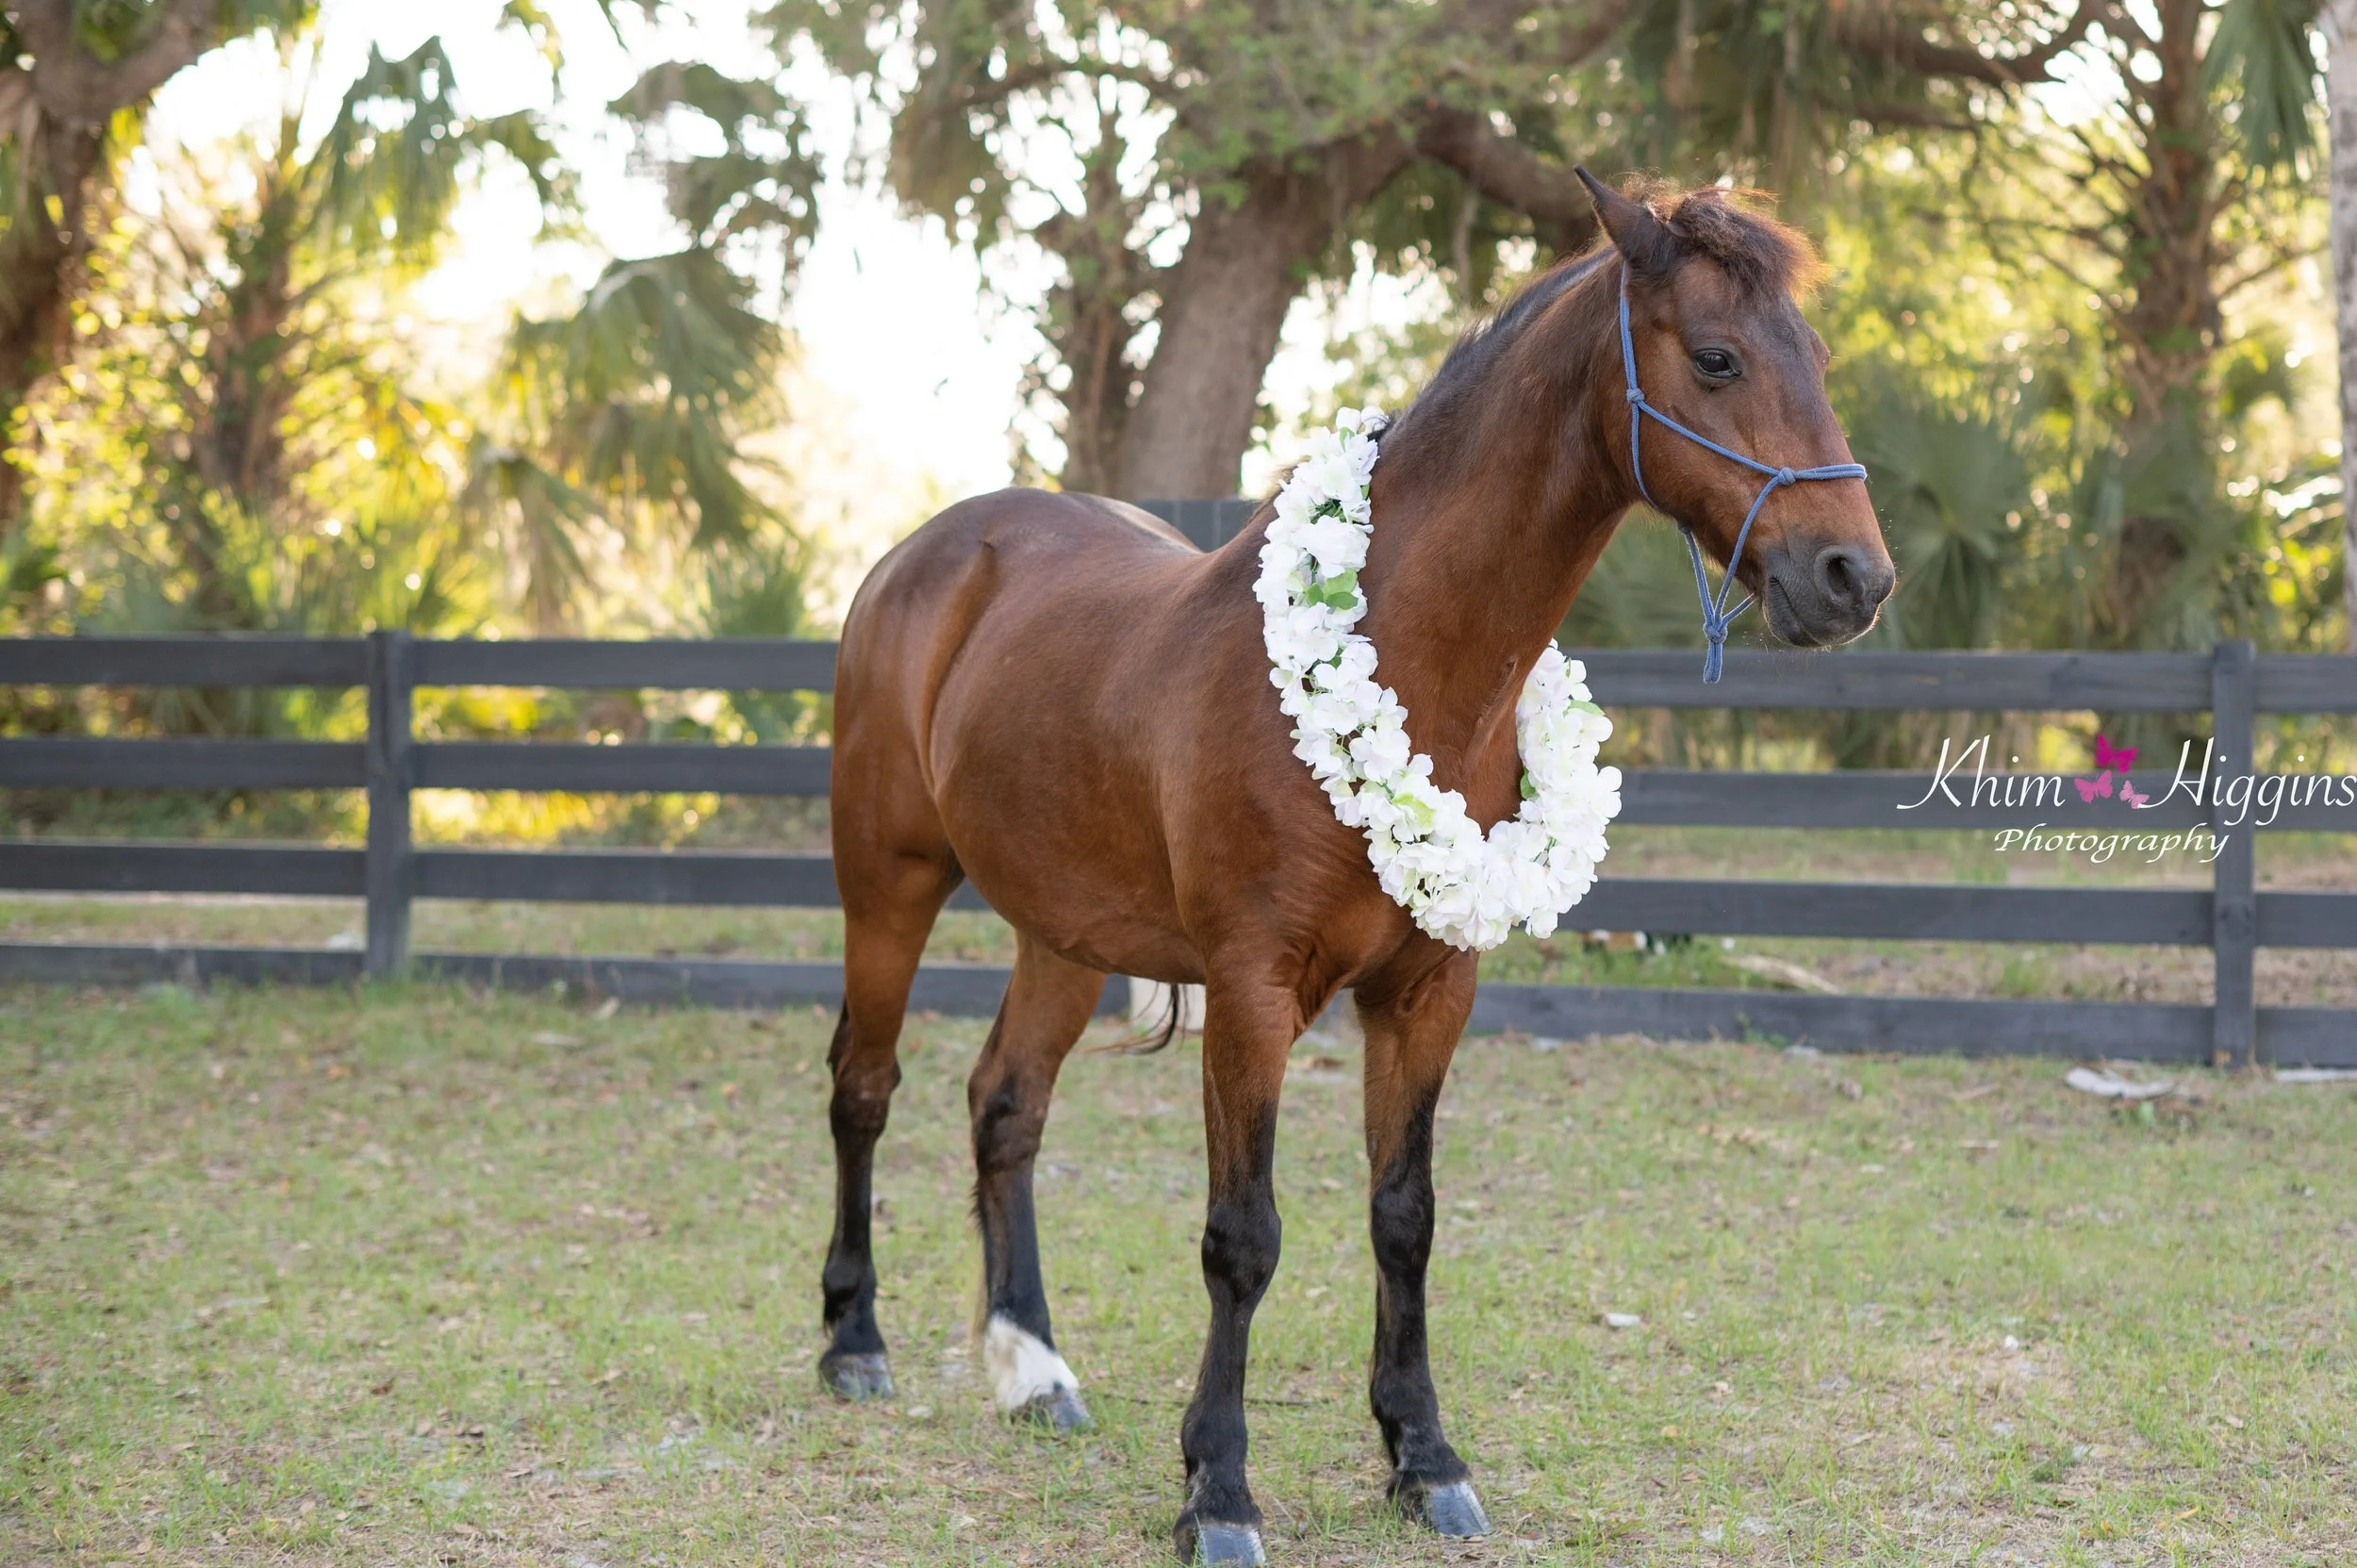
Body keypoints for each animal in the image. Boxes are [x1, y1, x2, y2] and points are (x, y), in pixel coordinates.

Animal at [819, 172, 1894, 1564]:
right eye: (1714, 357)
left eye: (1808, 352)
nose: (1854, 577)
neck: (1404, 653)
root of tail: (926, 555)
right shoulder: (1253, 991)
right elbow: (1243, 1237)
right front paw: (1218, 1488)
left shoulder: (1431, 991)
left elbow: (1405, 1215)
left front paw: (1423, 1457)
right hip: (886, 880)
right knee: (864, 1086)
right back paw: (853, 1339)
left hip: (1062, 929)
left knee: (1006, 1106)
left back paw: (1032, 1366)